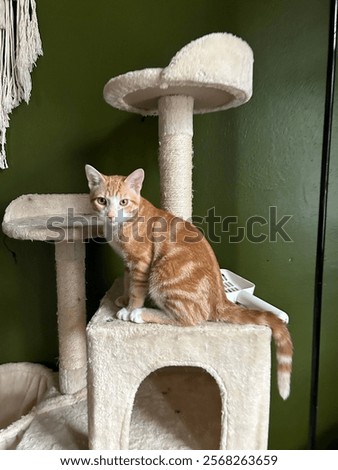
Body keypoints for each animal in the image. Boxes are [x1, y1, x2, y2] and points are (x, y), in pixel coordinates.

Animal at [85, 165, 294, 400]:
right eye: (102, 200)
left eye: (123, 202)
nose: (111, 215)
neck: (123, 224)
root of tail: (220, 299)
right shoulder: (128, 263)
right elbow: (128, 281)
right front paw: (123, 297)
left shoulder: (141, 261)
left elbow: (137, 289)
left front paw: (131, 308)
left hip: (162, 277)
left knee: (188, 319)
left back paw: (141, 314)